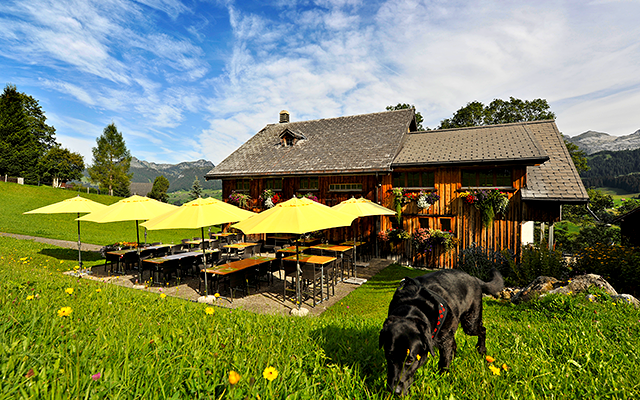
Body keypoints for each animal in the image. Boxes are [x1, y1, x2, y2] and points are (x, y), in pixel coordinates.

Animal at [378, 268, 502, 396]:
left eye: (410, 360)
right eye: (389, 356)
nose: (394, 391)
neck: (414, 307)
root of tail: (474, 278)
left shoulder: (445, 338)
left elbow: (444, 360)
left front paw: (443, 378)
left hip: (470, 323)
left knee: (482, 330)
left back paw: (481, 349)